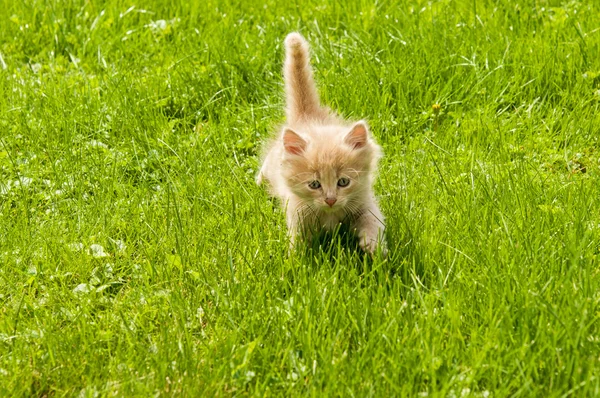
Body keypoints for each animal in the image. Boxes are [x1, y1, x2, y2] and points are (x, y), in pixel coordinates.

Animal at [256, 31, 386, 255]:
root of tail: (306, 118)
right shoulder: (298, 213)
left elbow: (373, 222)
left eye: (343, 182)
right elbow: (298, 242)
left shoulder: (366, 203)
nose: (330, 199)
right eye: (314, 184)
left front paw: (373, 246)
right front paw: (295, 259)